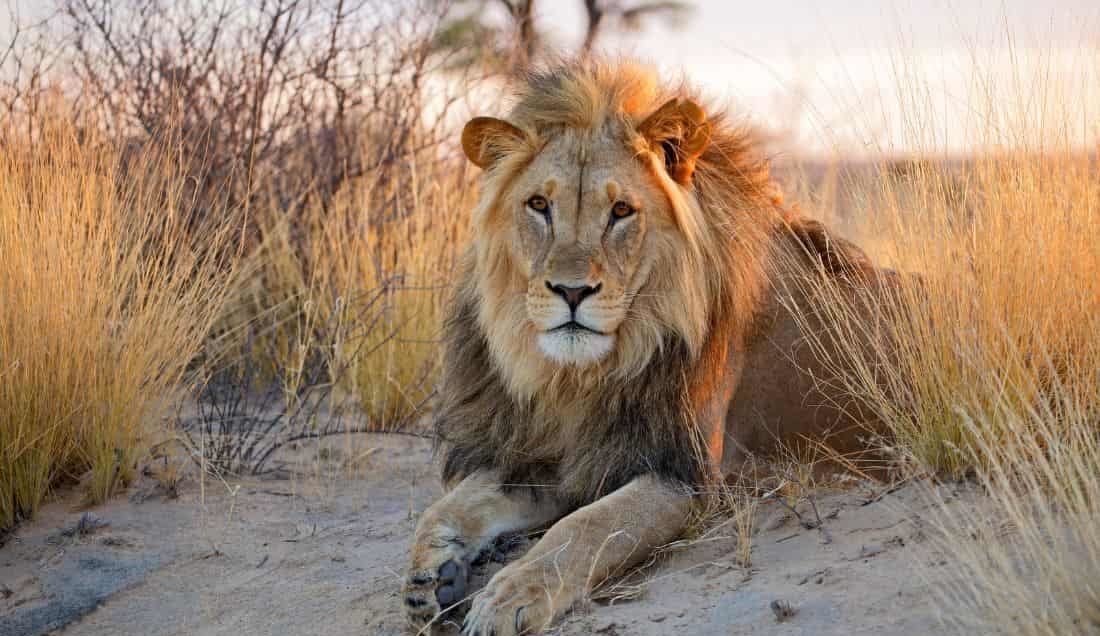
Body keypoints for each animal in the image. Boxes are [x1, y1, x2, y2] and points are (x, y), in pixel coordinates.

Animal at [403, 61, 895, 635]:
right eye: (539, 205)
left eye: (621, 211)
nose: (572, 291)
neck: (581, 378)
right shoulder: (562, 456)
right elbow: (449, 506)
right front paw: (431, 576)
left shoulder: (685, 475)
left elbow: (585, 528)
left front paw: (508, 597)